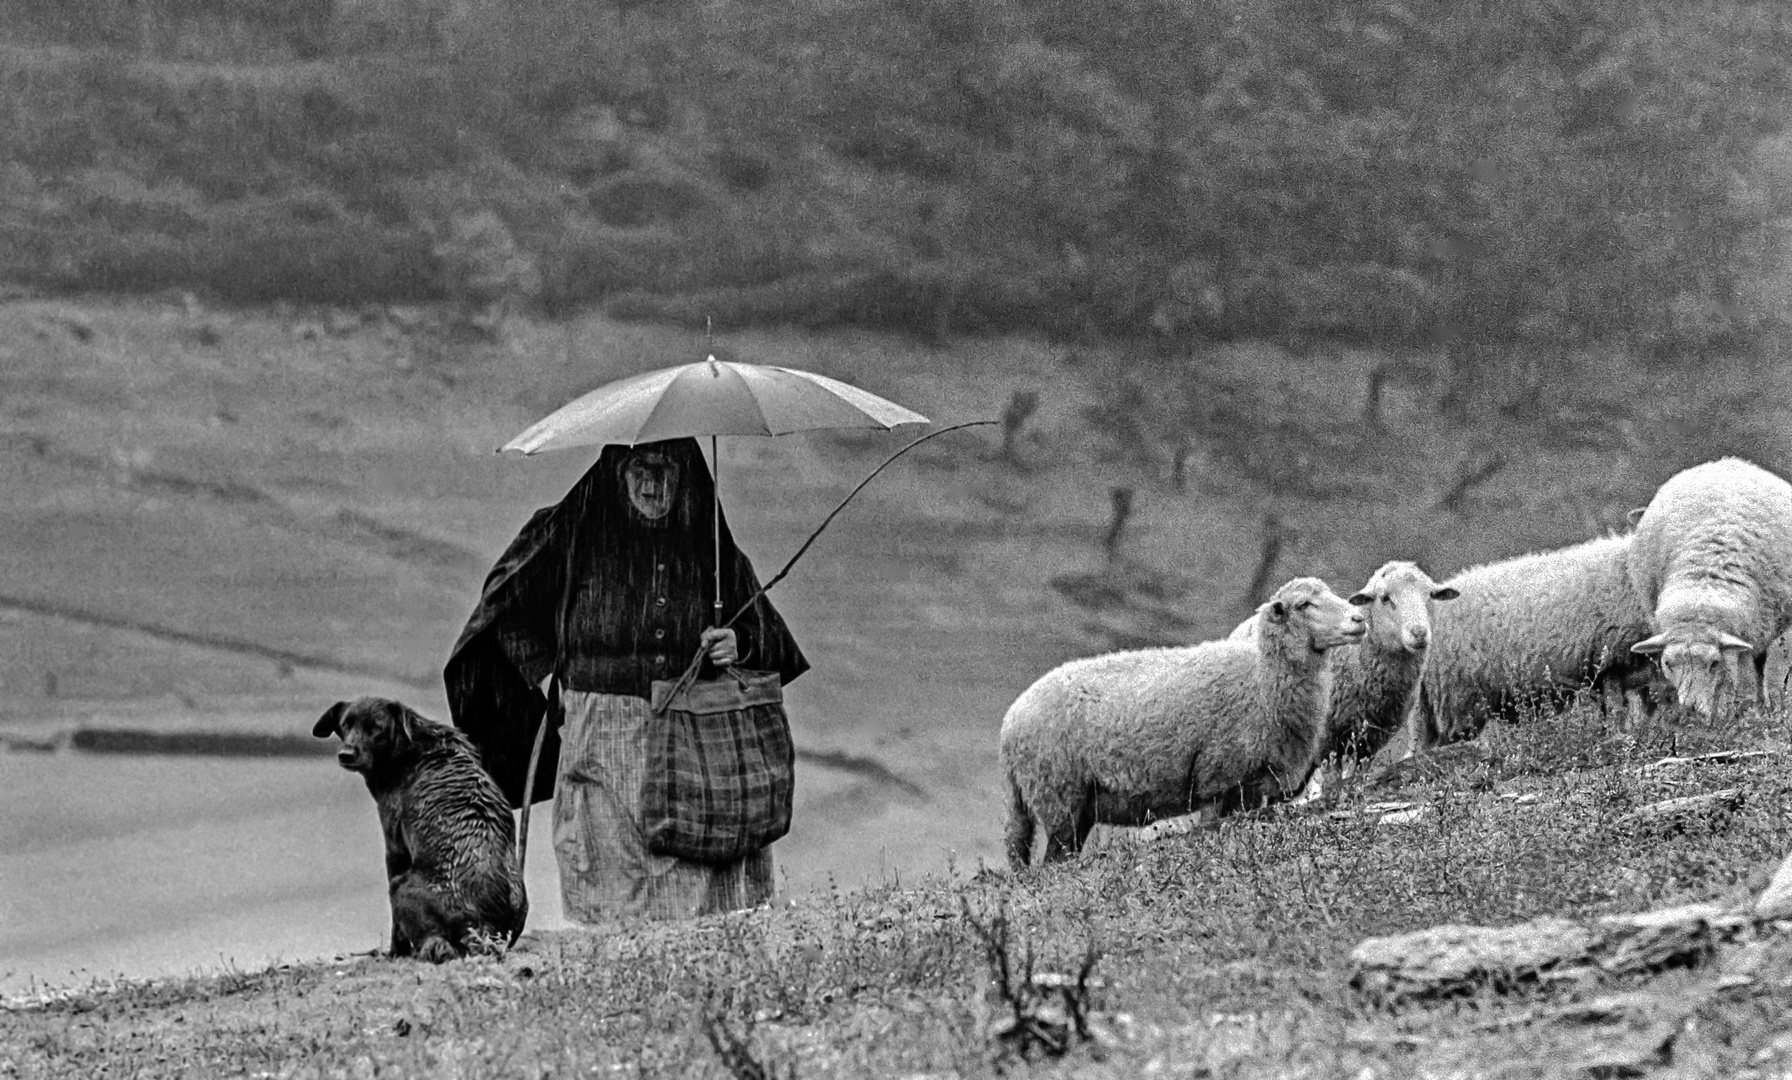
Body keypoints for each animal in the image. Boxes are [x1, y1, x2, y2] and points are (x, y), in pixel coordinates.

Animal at [313, 702, 523, 960]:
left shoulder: (394, 847)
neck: (407, 750)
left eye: (376, 727)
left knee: (435, 946)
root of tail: (482, 927)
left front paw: (395, 952)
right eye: (345, 724)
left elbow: (397, 930)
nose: (346, 754)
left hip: (399, 887)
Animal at [1003, 573, 1361, 870]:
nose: (1358, 619)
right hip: (1059, 797)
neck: (1260, 681)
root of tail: (1010, 724)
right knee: (1050, 863)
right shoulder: (1217, 780)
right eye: (1304, 604)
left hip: (1071, 808)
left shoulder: (1252, 791)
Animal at [1627, 456, 1792, 720]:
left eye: (1714, 664)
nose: (1690, 711)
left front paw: (1735, 714)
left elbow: (1737, 679)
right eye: (1668, 664)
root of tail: (1726, 461)